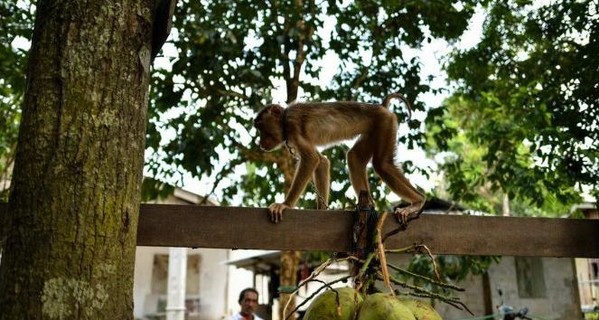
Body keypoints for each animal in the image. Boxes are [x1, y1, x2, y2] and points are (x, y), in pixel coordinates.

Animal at [253, 92, 426, 225]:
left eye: (262, 128)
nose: (260, 143)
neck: (284, 120)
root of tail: (381, 107)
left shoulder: (292, 124)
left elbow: (311, 159)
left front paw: (285, 205)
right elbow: (321, 161)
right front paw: (322, 210)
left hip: (385, 122)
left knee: (382, 164)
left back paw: (418, 202)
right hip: (375, 128)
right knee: (354, 158)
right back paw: (368, 206)